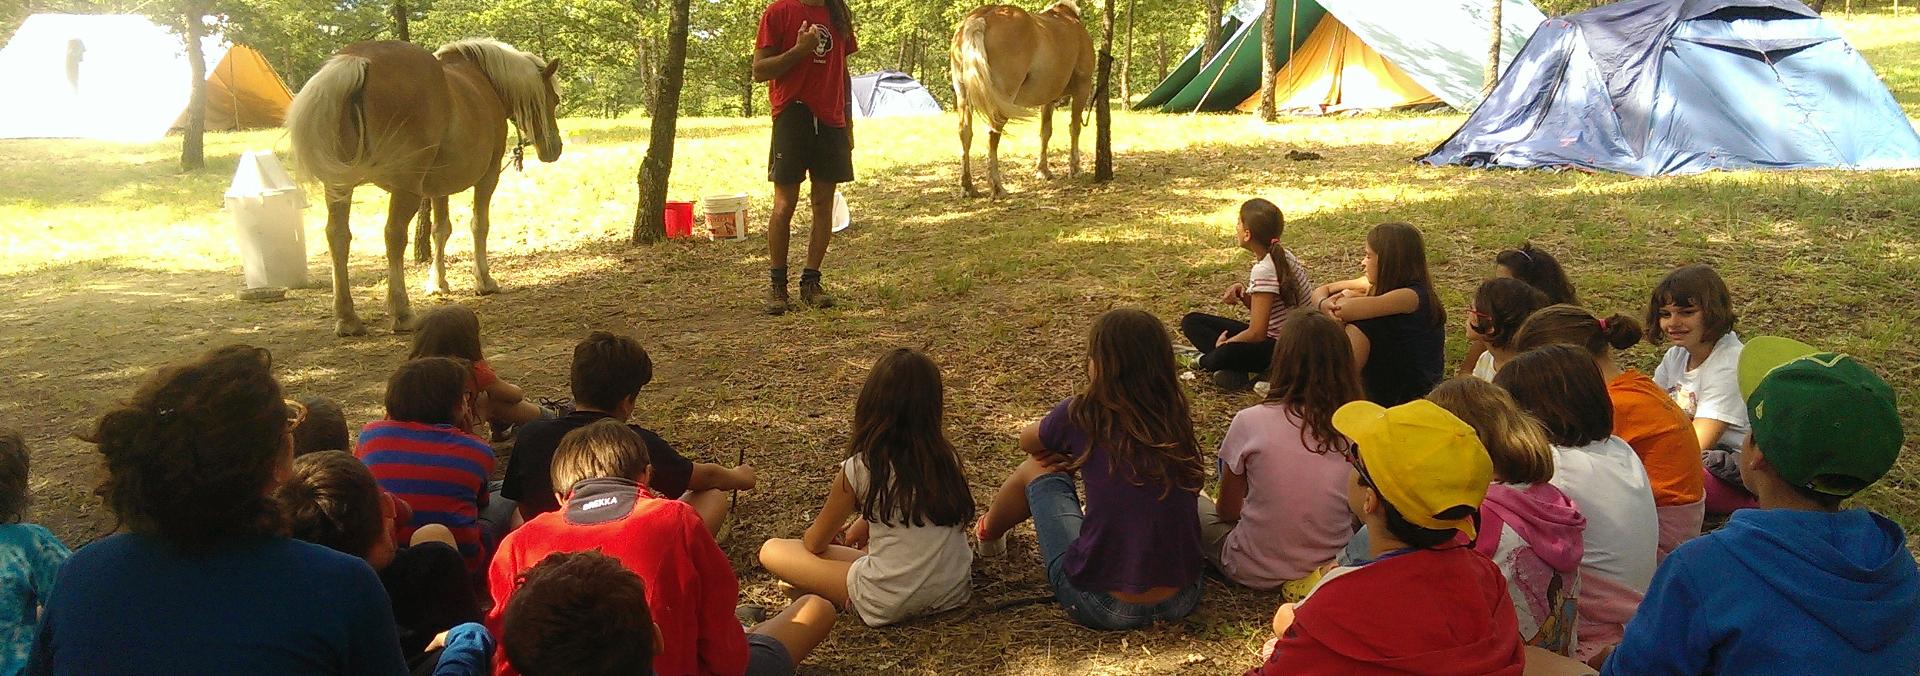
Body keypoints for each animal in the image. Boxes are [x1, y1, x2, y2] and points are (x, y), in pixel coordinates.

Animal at [287, 39, 562, 336]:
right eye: (554, 100)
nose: (554, 148)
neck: (484, 81)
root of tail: (358, 61)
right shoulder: (488, 178)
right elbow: (479, 225)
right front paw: (484, 280)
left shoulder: (437, 188)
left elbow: (440, 231)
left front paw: (438, 283)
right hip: (405, 188)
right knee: (394, 236)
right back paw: (402, 312)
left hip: (340, 187)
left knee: (338, 237)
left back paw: (347, 317)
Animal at [949, 0, 1095, 198]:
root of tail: (982, 17)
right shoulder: (1082, 89)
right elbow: (1075, 128)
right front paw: (1075, 168)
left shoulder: (1047, 99)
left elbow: (1045, 132)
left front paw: (1043, 170)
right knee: (993, 134)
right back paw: (997, 186)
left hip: (963, 96)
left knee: (965, 133)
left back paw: (967, 186)